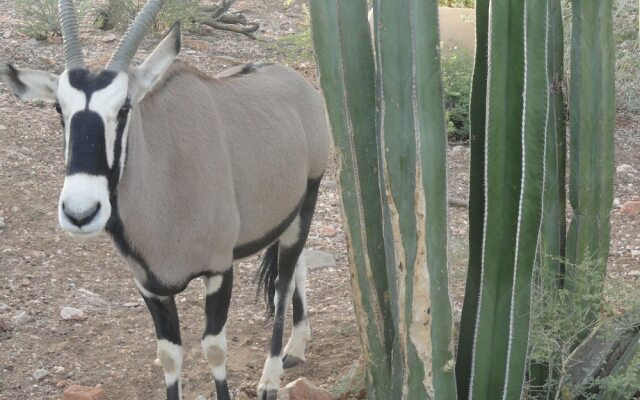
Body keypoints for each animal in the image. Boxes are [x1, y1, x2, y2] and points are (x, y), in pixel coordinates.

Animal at [0, 1, 330, 398]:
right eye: (59, 109)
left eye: (124, 107)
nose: (80, 213)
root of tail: (296, 84)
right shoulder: (149, 284)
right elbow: (170, 355)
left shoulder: (219, 270)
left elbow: (214, 348)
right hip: (286, 216)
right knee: (297, 268)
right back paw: (296, 346)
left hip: (308, 200)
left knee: (282, 283)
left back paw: (270, 376)